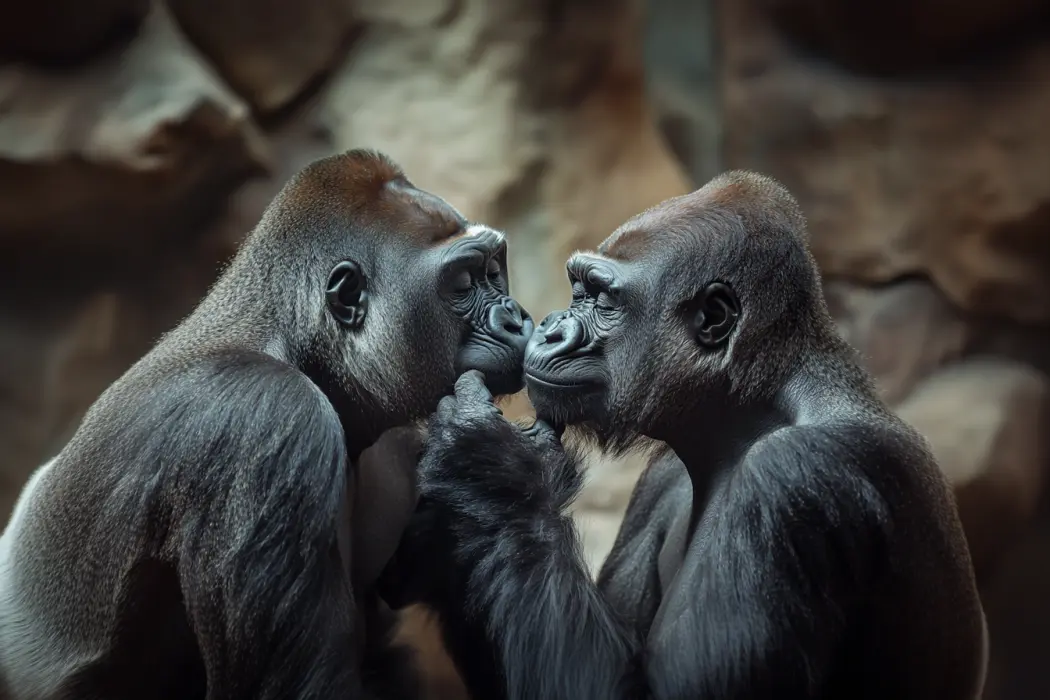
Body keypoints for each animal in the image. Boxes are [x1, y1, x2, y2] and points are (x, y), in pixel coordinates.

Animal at [380, 171, 989, 700]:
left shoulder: (796, 475)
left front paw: (490, 468)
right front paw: (447, 531)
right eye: (578, 289)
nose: (550, 328)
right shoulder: (664, 477)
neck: (749, 414)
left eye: (601, 299)